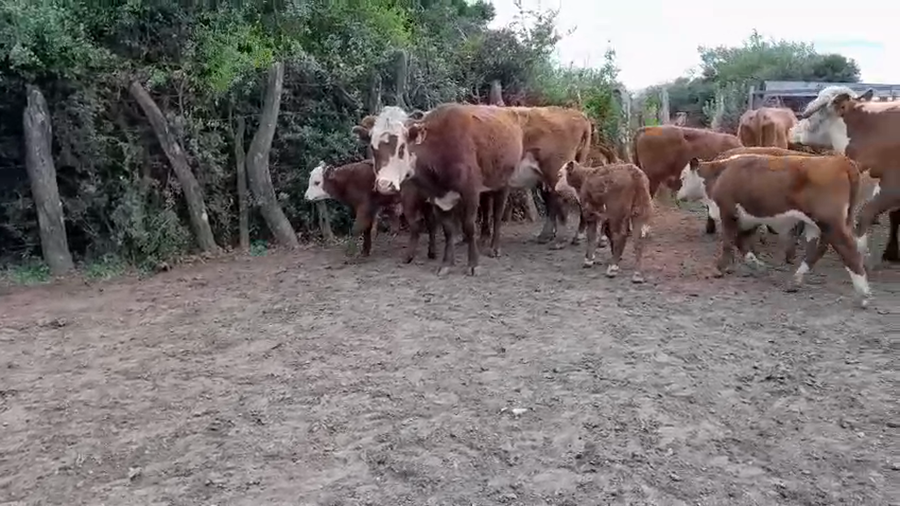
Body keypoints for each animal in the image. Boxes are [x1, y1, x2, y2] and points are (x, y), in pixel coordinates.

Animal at [304, 160, 438, 263]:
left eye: (317, 182)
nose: (306, 197)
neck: (349, 180)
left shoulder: (364, 206)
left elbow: (356, 228)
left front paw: (350, 253)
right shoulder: (371, 208)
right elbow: (367, 228)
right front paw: (365, 251)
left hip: (409, 203)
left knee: (416, 226)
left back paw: (408, 257)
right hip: (426, 203)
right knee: (431, 224)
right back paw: (431, 253)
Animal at [367, 103, 525, 275]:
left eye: (401, 147)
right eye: (373, 148)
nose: (384, 184)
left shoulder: (470, 192)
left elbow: (469, 226)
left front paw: (473, 264)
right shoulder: (437, 197)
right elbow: (448, 230)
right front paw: (446, 263)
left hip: (503, 183)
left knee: (497, 215)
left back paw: (494, 247)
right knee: (485, 210)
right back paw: (483, 239)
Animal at [675, 153, 871, 307]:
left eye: (683, 178)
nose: (678, 196)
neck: (720, 173)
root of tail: (840, 160)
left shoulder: (728, 212)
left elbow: (729, 241)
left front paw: (720, 268)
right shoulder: (748, 218)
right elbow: (741, 242)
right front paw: (757, 264)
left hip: (830, 222)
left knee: (849, 250)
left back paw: (863, 294)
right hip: (818, 224)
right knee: (817, 249)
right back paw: (796, 280)